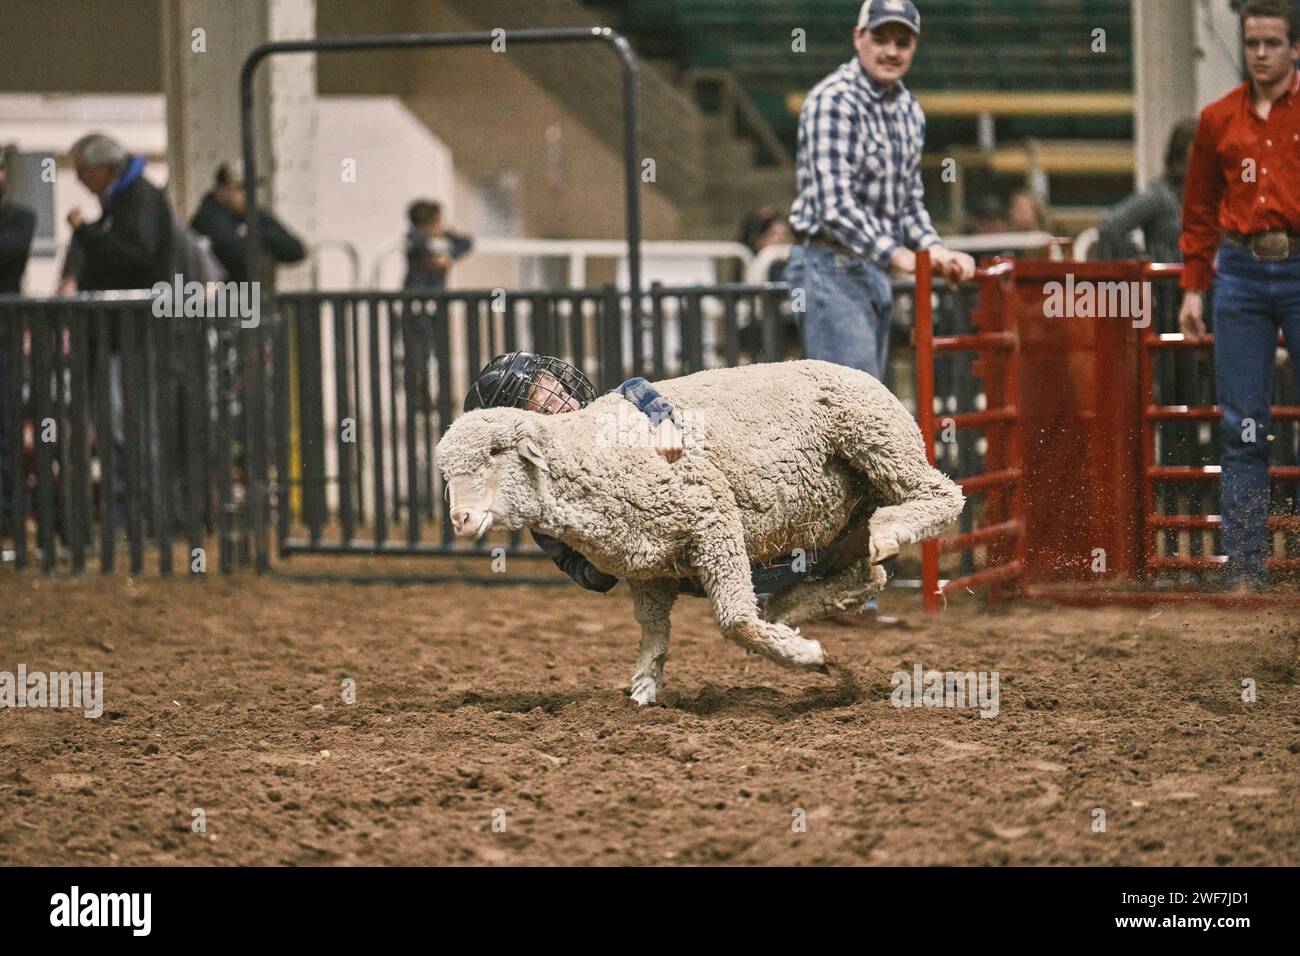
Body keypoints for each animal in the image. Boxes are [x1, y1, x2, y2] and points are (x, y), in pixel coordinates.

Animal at [439, 358, 967, 702]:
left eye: (494, 453)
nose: (460, 520)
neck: (588, 455)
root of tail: (869, 377)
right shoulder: (648, 568)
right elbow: (654, 633)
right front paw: (643, 689)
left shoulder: (711, 515)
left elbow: (734, 619)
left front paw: (806, 657)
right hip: (841, 520)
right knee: (869, 575)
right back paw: (793, 606)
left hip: (877, 439)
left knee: (943, 495)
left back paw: (890, 533)